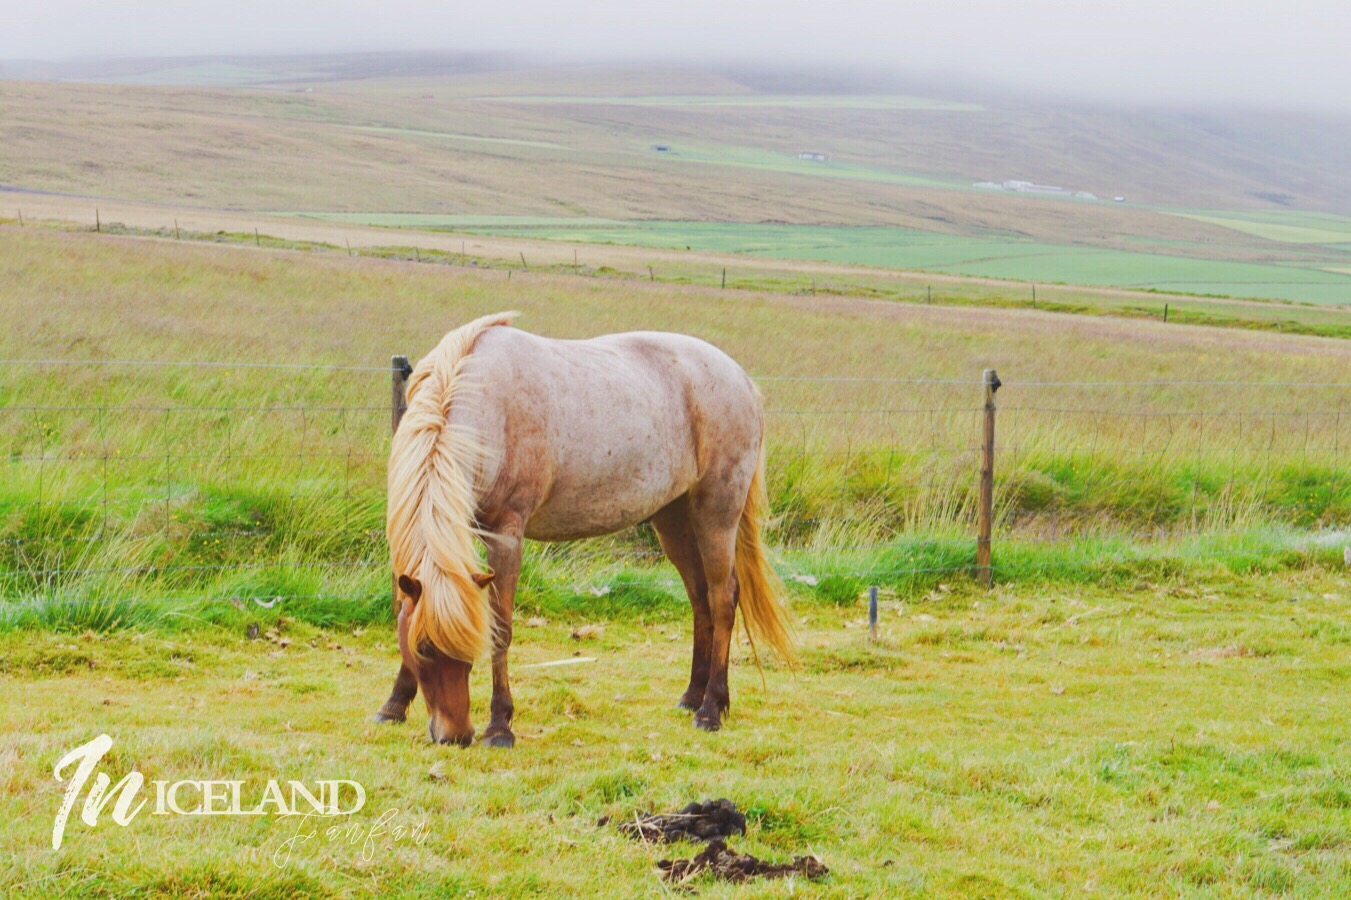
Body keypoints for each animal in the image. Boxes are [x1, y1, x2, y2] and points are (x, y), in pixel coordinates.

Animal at [370, 312, 788, 745]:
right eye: (421, 650)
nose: (455, 735)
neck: (481, 401)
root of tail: (742, 380)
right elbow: (407, 610)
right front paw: (394, 705)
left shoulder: (505, 536)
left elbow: (502, 628)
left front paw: (500, 725)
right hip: (673, 521)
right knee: (700, 598)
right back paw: (692, 696)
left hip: (716, 514)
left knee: (723, 598)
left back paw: (711, 709)